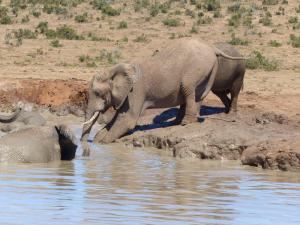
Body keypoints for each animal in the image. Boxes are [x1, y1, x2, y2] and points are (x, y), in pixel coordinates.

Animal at [80, 39, 244, 153]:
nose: (83, 146)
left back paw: (186, 122)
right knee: (196, 95)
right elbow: (117, 118)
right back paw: (178, 122)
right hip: (210, 68)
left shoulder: (136, 90)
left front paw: (102, 143)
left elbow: (127, 120)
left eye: (98, 93)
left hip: (198, 69)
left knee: (188, 89)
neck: (114, 69)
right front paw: (98, 139)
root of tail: (212, 47)